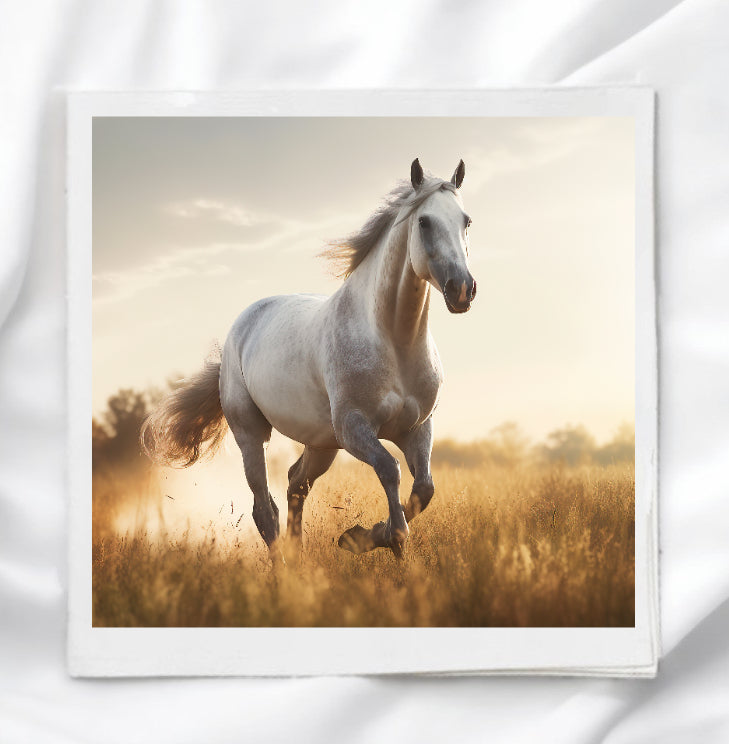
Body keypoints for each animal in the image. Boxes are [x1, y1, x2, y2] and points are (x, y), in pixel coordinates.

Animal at [141, 158, 476, 559]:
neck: (393, 341)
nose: (463, 289)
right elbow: (390, 471)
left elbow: (424, 488)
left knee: (294, 484)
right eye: (424, 222)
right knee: (264, 508)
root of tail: (240, 329)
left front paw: (360, 536)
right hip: (252, 435)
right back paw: (286, 568)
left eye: (466, 221)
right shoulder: (355, 428)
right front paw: (377, 537)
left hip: (321, 444)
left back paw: (302, 559)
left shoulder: (417, 428)